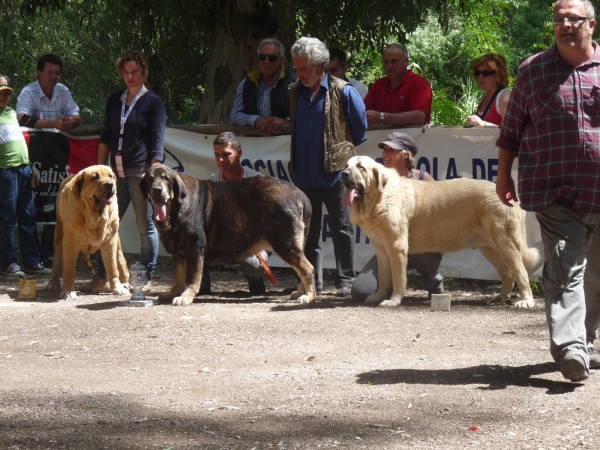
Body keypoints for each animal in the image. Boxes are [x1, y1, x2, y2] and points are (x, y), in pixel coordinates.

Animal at [141, 163, 318, 308]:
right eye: (150, 180)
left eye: (166, 179)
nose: (157, 190)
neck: (176, 207)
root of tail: (301, 196)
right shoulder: (179, 253)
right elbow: (178, 276)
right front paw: (173, 292)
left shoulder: (194, 248)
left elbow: (191, 277)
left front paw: (185, 297)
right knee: (301, 269)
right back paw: (300, 292)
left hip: (284, 243)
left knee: (307, 268)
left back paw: (309, 296)